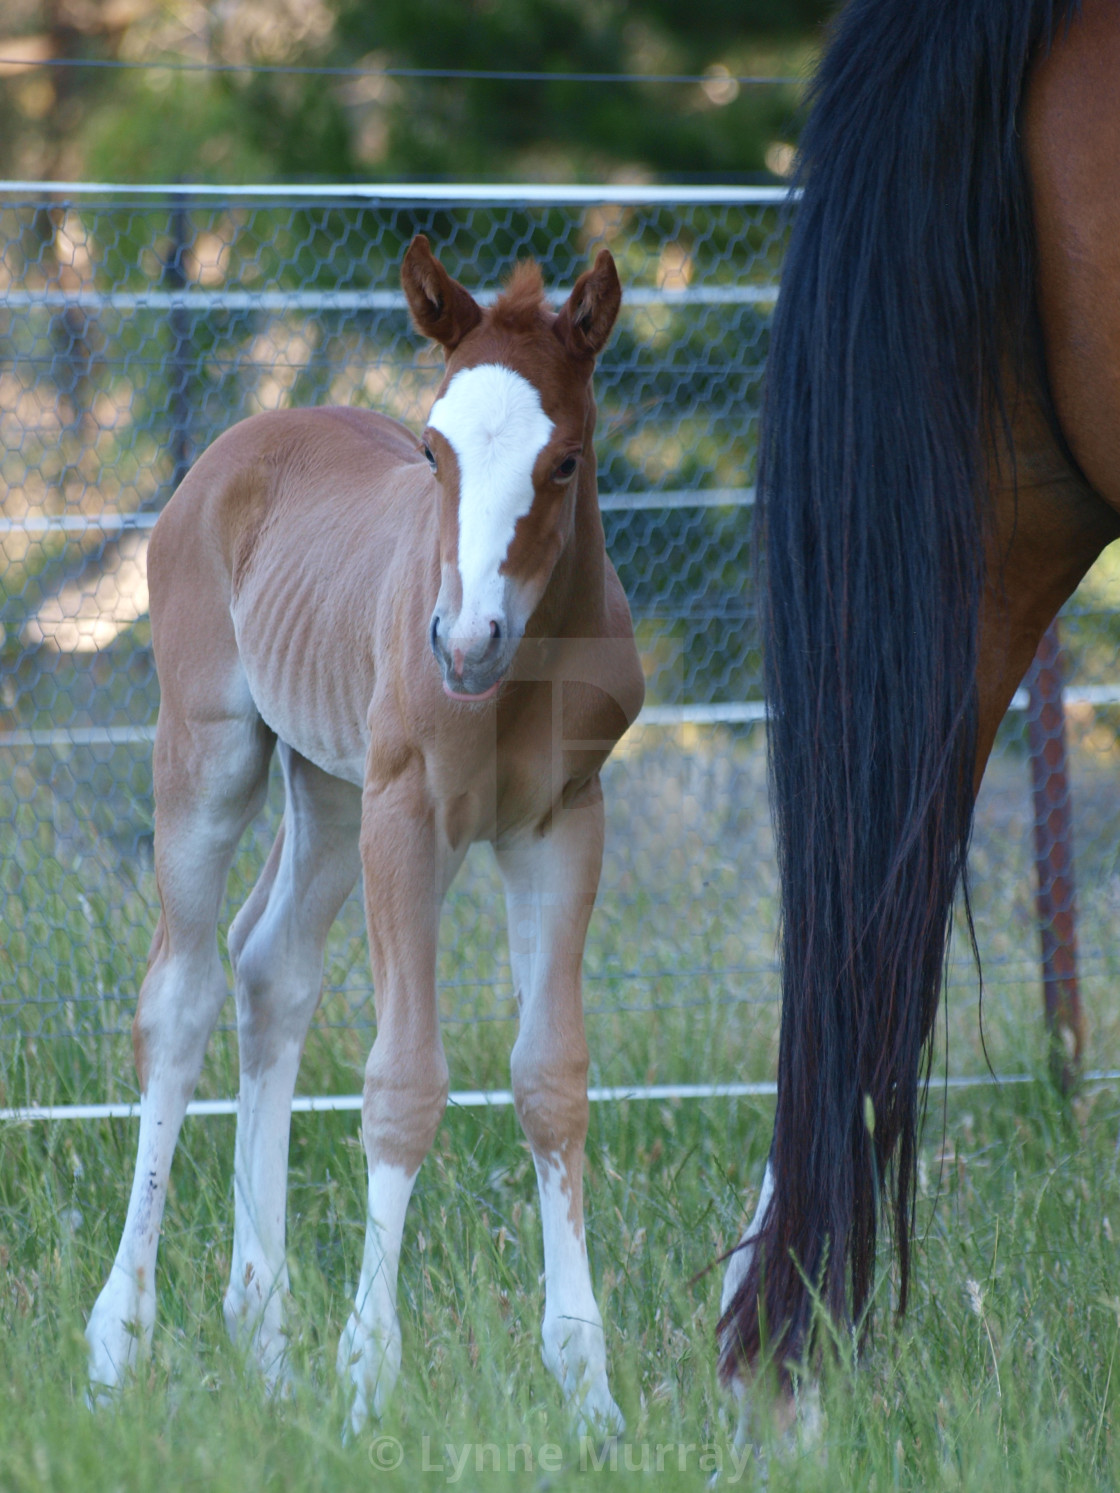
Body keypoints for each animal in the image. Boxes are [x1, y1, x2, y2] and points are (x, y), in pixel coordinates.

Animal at [83, 235, 645, 1433]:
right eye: (434, 451)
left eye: (565, 461)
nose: (464, 640)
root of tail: (239, 444)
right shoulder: (408, 811)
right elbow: (403, 1085)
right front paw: (368, 1379)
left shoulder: (563, 823)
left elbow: (551, 1079)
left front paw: (588, 1391)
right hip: (212, 755)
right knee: (181, 995)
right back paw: (120, 1341)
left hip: (326, 787)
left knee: (271, 968)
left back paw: (263, 1336)